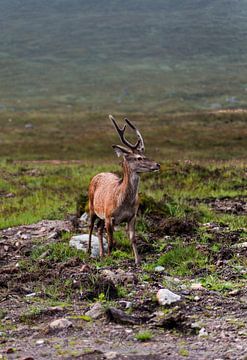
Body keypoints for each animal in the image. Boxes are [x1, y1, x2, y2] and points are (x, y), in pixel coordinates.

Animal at [87, 115, 160, 264]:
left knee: (98, 229)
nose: (157, 164)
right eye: (139, 158)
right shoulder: (109, 216)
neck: (123, 202)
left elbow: (133, 239)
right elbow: (111, 242)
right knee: (91, 227)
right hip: (92, 206)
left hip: (101, 215)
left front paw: (138, 260)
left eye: (145, 155)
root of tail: (97, 174)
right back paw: (89, 251)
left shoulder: (132, 216)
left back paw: (101, 254)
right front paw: (110, 258)